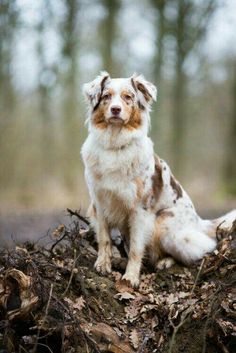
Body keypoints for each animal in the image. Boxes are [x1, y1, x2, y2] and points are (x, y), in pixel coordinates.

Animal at [81, 71, 236, 286]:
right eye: (106, 96)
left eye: (128, 97)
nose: (115, 109)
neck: (115, 145)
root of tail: (199, 222)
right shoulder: (100, 202)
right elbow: (104, 238)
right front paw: (103, 264)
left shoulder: (140, 210)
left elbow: (136, 248)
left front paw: (130, 277)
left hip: (164, 223)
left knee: (196, 253)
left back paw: (165, 262)